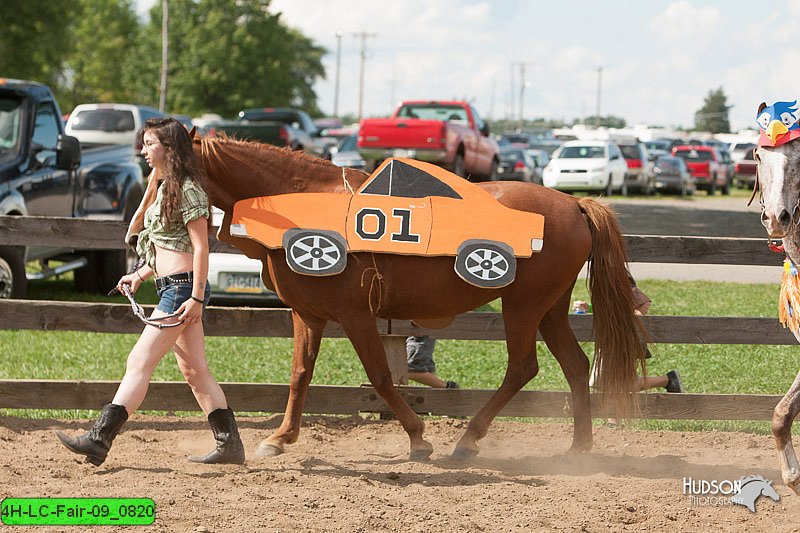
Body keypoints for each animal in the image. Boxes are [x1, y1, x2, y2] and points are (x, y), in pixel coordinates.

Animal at [172, 135, 648, 460]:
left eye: (171, 168)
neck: (299, 202)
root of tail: (574, 205)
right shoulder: (307, 314)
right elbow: (300, 374)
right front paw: (279, 438)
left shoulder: (355, 314)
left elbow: (380, 376)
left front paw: (418, 437)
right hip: (550, 308)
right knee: (575, 365)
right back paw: (578, 448)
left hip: (523, 305)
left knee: (523, 367)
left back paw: (469, 439)